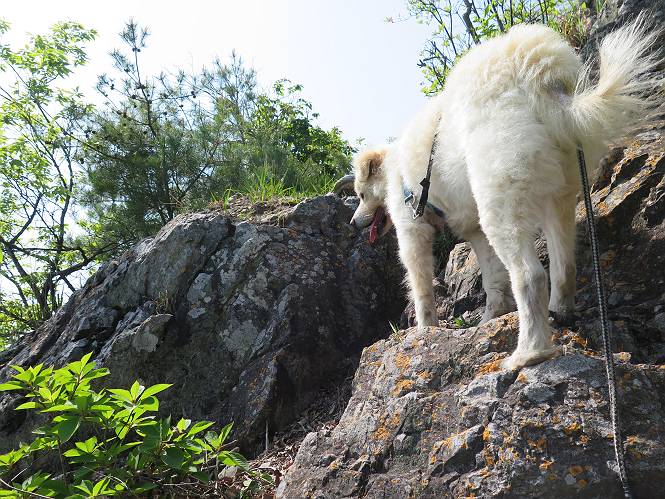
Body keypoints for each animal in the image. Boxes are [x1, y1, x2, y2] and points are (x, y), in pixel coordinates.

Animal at [345, 18, 661, 370]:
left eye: (360, 194)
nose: (352, 224)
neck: (394, 169)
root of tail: (540, 77)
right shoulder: (475, 231)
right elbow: (492, 279)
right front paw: (489, 319)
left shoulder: (412, 229)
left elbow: (421, 287)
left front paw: (426, 330)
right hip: (559, 195)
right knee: (564, 267)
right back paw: (560, 314)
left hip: (501, 205)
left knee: (530, 276)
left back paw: (528, 353)